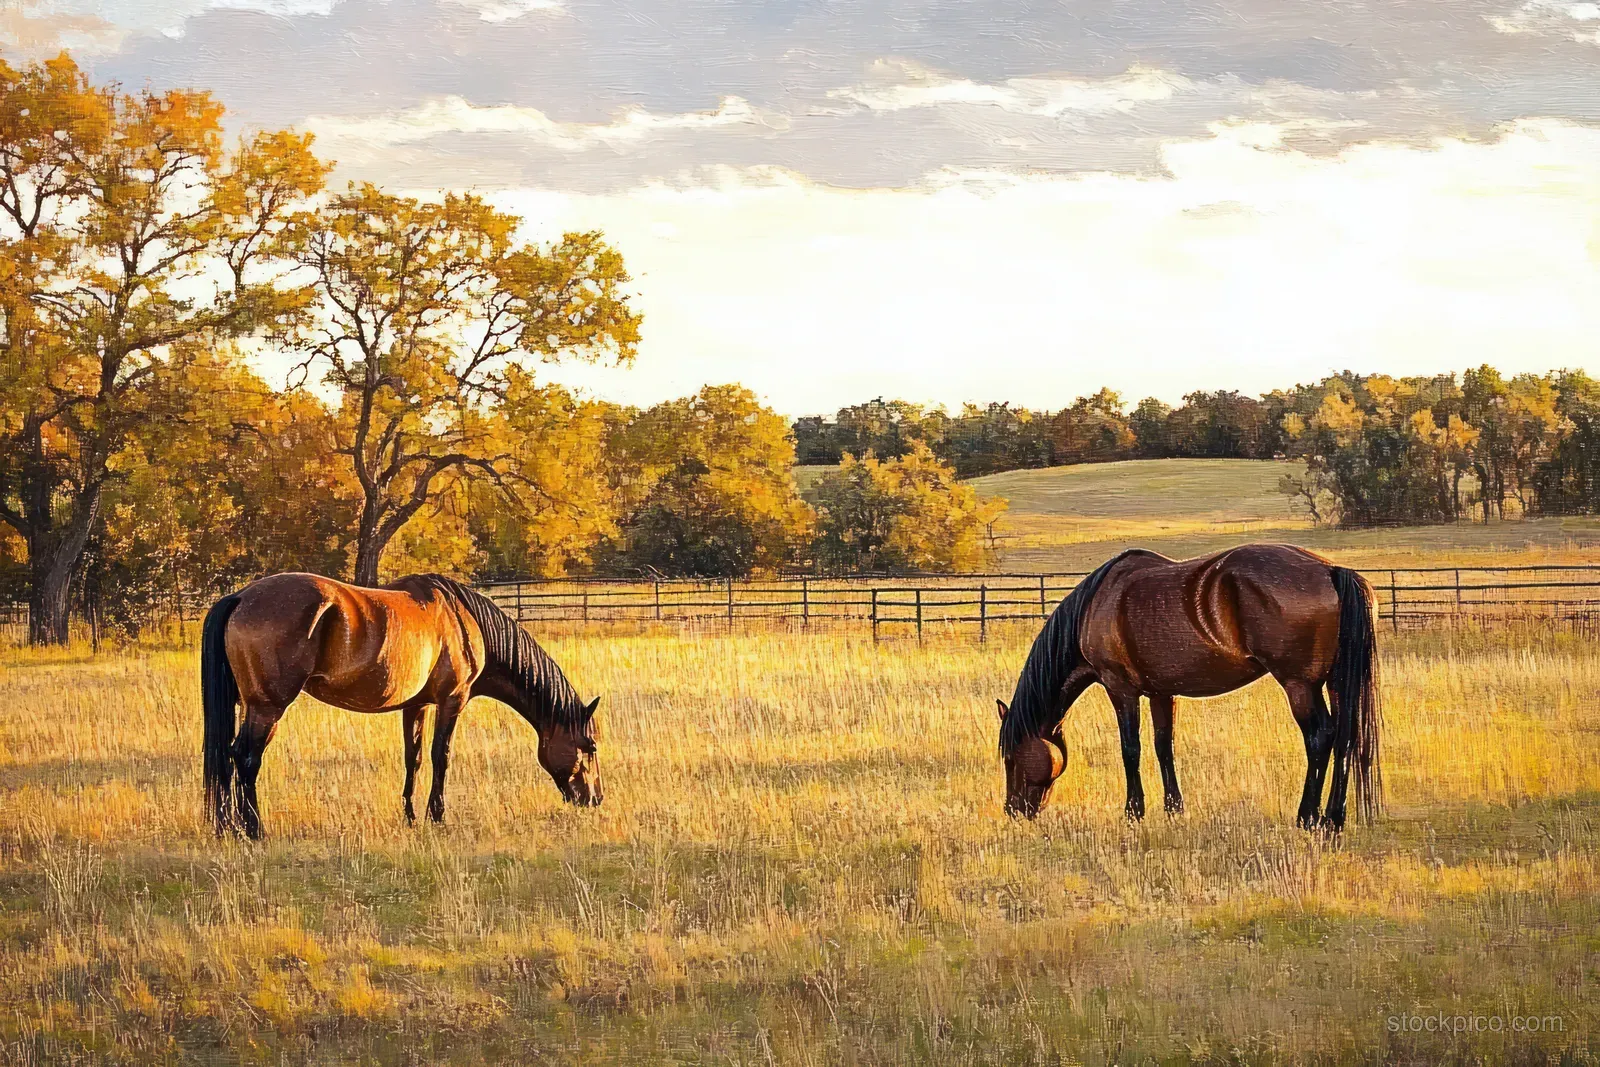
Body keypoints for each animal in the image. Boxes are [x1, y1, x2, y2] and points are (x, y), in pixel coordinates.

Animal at [200, 572, 602, 839]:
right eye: (590, 747)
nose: (595, 798)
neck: (464, 619)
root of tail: (241, 597)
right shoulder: (452, 701)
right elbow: (441, 756)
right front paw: (437, 816)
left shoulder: (417, 705)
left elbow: (415, 757)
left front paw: (409, 815)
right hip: (268, 708)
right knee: (246, 758)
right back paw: (254, 830)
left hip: (250, 706)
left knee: (230, 756)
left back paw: (230, 827)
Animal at [996, 544, 1380, 830]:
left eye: (1011, 757)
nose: (1013, 810)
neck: (1095, 606)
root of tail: (1331, 571)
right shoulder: (1162, 693)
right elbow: (1163, 746)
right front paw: (1173, 808)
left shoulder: (1120, 689)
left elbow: (1130, 749)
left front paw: (1133, 812)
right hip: (1335, 683)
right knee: (1345, 737)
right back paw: (1333, 818)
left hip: (1300, 685)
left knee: (1320, 736)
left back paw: (1307, 817)